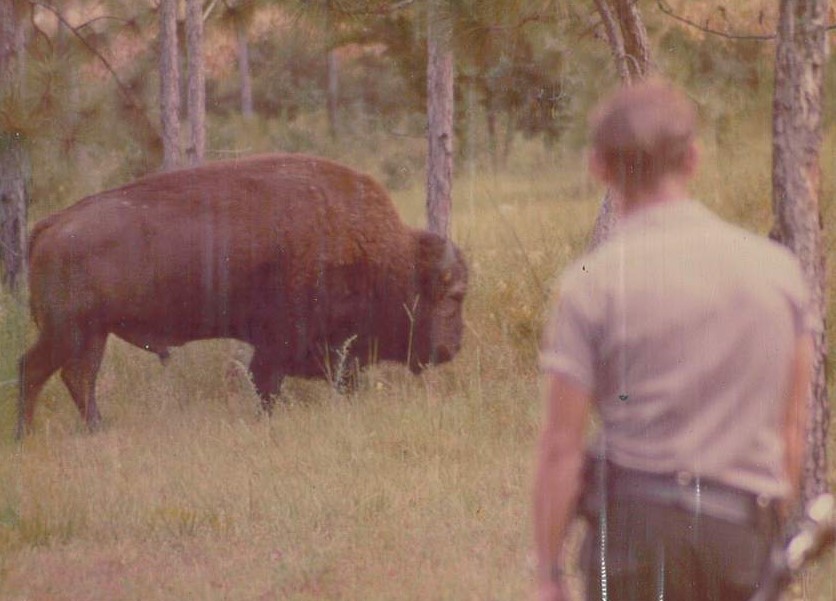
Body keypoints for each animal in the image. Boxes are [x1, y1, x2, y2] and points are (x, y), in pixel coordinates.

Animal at [17, 154, 468, 436]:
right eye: (454, 296)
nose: (453, 348)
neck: (386, 256)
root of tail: (50, 224)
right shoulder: (281, 345)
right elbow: (267, 384)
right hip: (67, 332)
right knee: (34, 369)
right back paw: (26, 435)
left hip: (92, 334)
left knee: (79, 378)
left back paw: (96, 429)